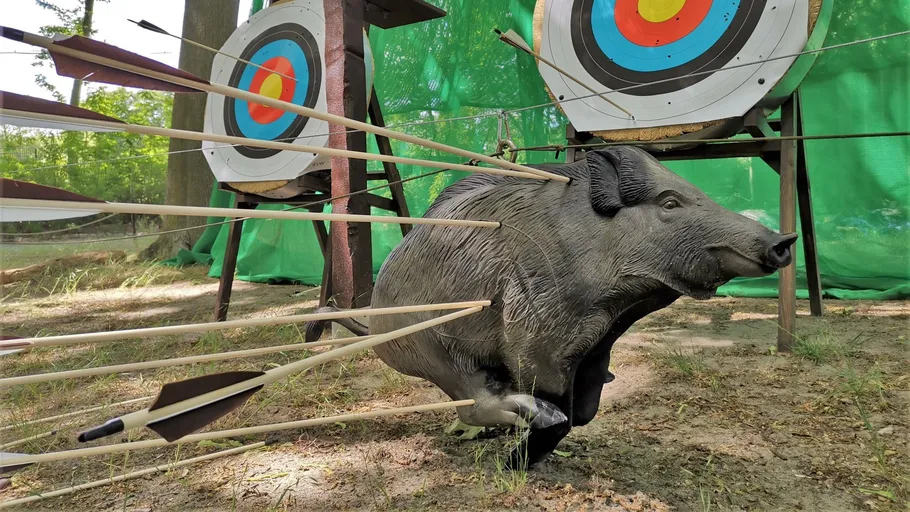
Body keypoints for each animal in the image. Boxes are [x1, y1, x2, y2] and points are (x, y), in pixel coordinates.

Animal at [305, 146, 796, 468]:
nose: (782, 241)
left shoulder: (598, 345)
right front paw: (522, 454)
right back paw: (523, 417)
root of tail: (374, 326)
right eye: (670, 202)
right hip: (432, 349)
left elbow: (588, 408)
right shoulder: (537, 329)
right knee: (473, 402)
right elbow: (559, 406)